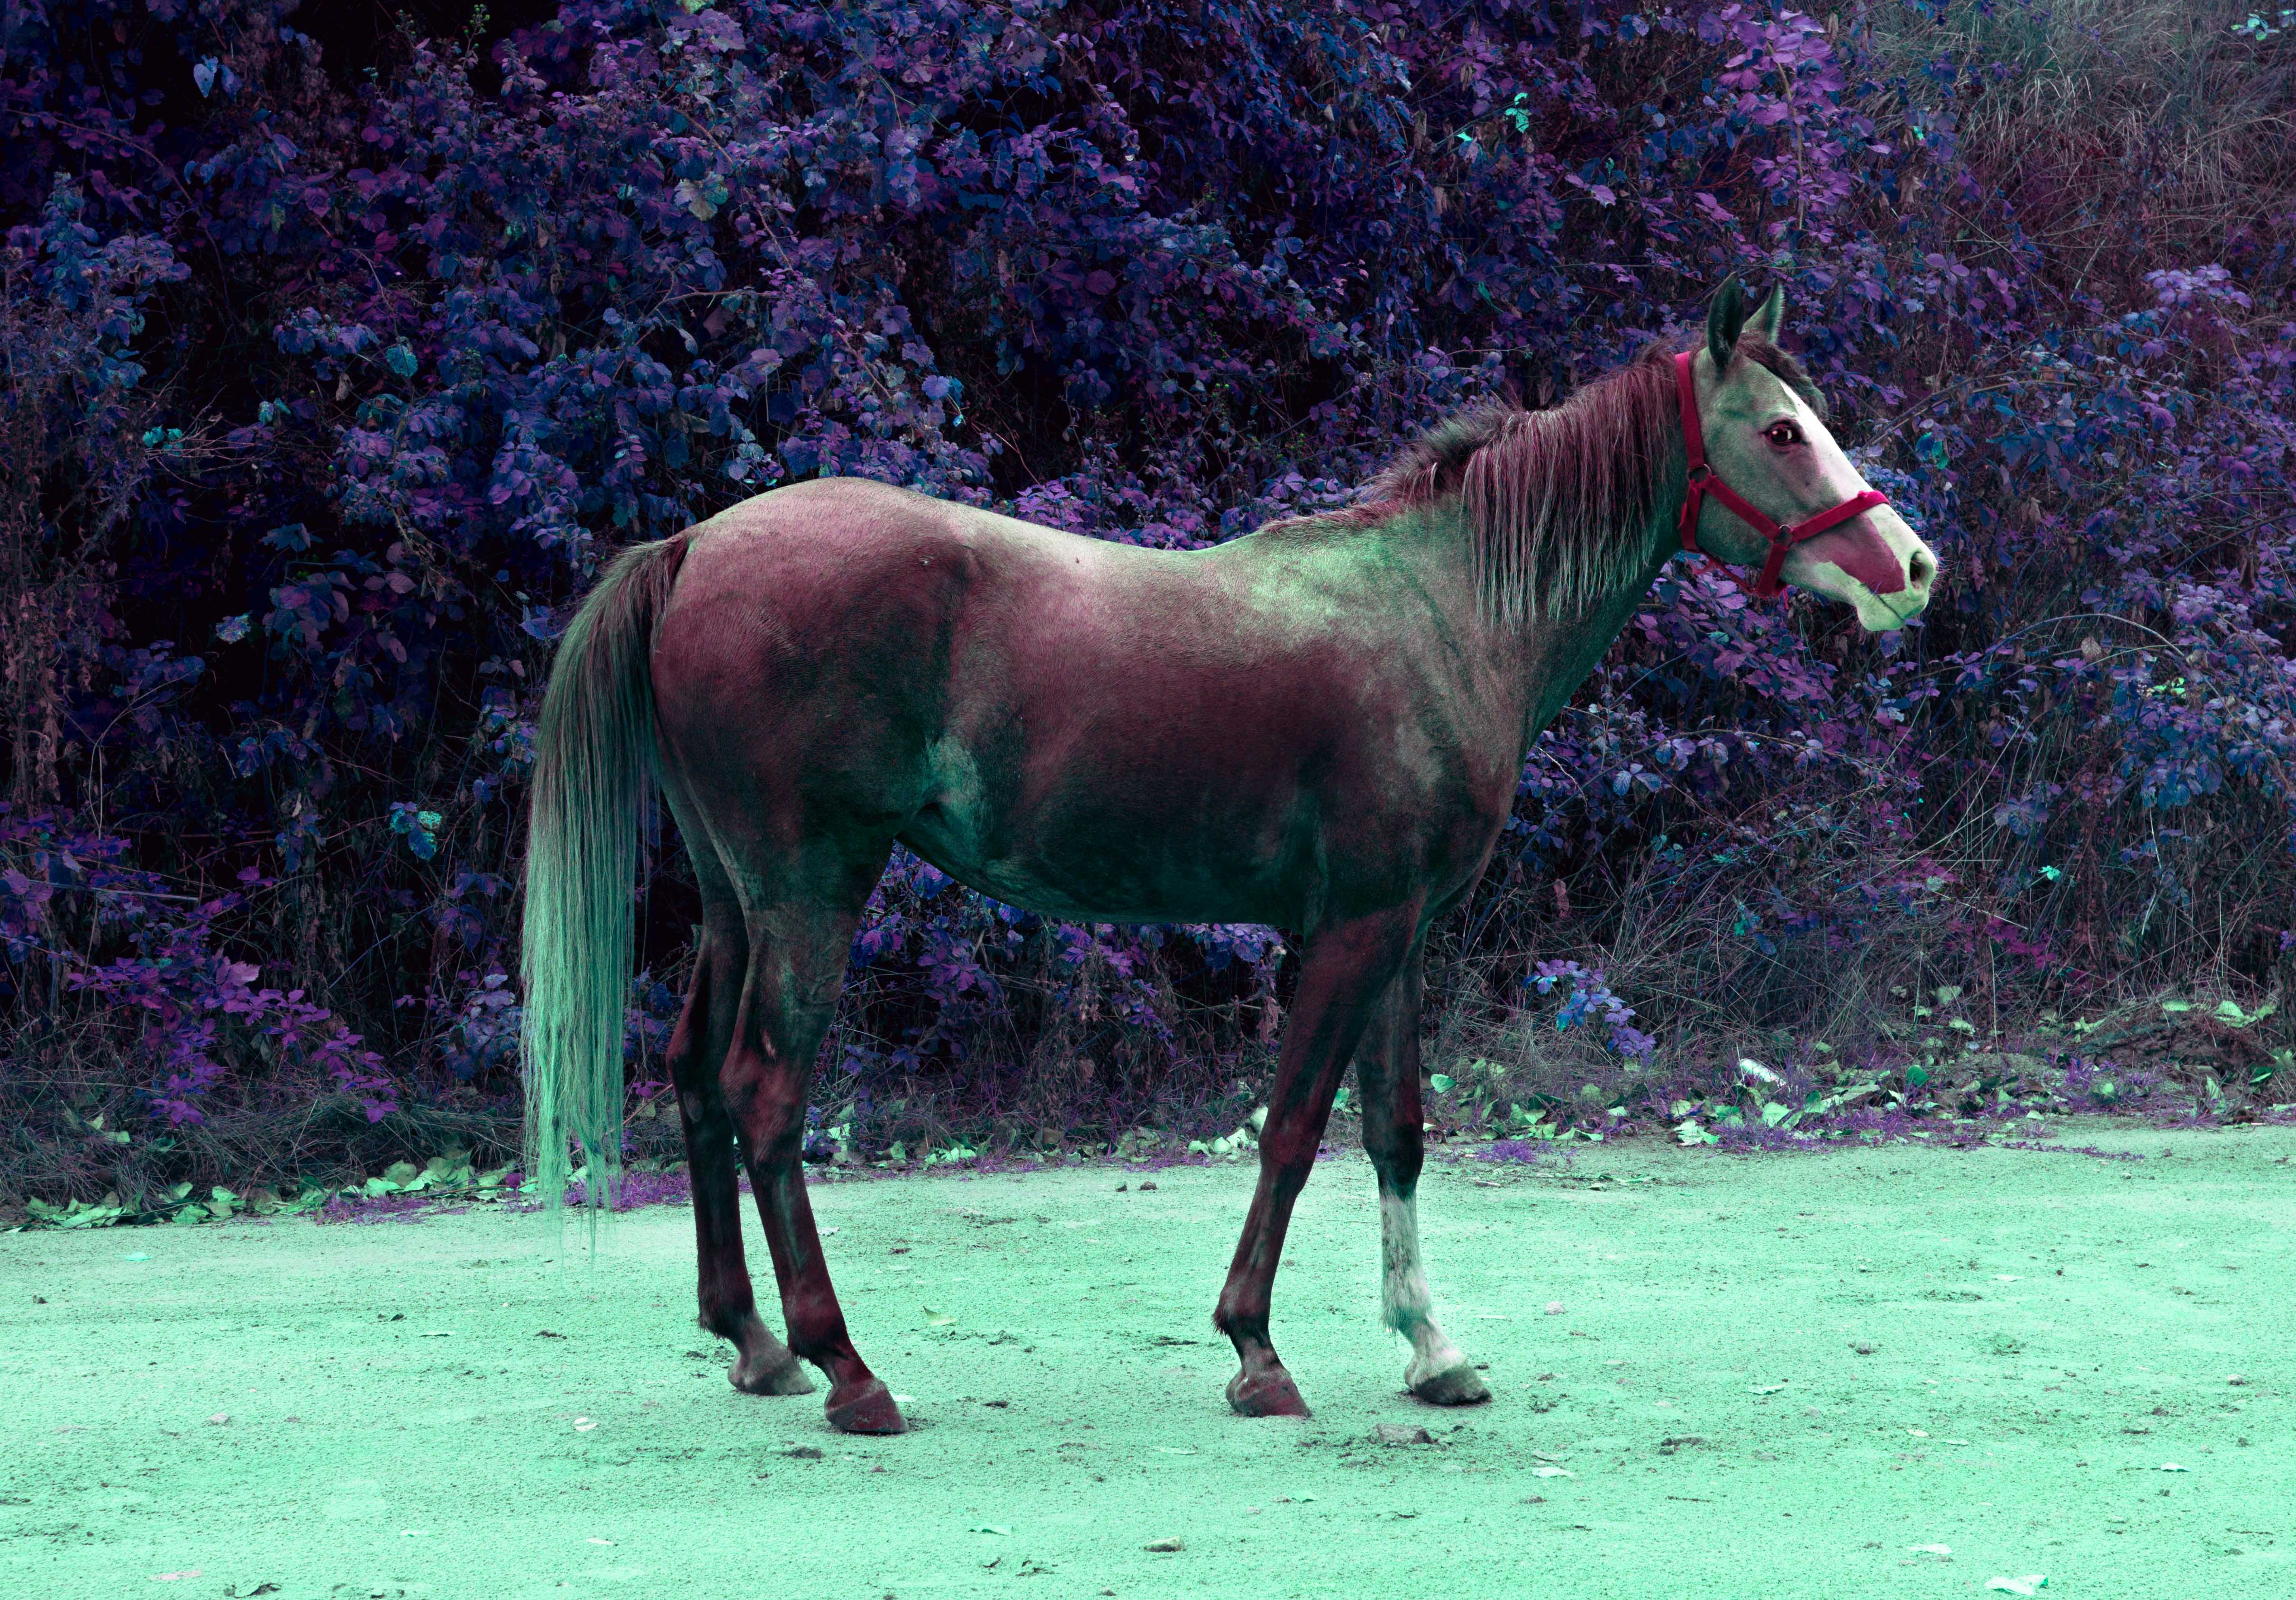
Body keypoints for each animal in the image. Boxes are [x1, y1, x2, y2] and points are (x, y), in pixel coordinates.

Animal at [520, 277, 1939, 1434]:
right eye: (1780, 431)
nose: (1912, 566)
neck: (1440, 611)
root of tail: (694, 547)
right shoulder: (1353, 931)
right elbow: (1296, 1130)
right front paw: (1256, 1350)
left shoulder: (1399, 930)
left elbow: (1397, 1130)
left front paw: (1431, 1347)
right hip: (813, 888)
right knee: (764, 1091)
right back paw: (849, 1369)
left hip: (735, 897)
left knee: (694, 1076)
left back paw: (756, 1345)